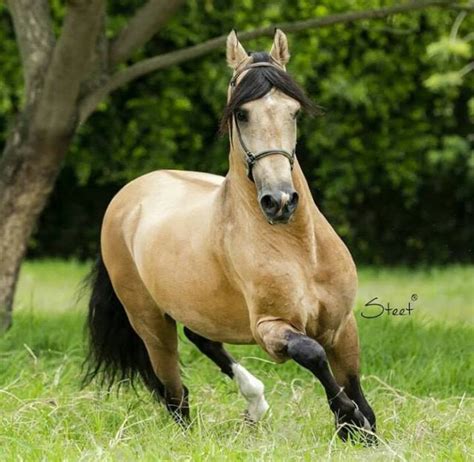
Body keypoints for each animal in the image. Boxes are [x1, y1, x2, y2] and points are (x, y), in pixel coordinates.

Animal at [87, 29, 378, 444]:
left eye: (294, 111)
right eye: (242, 113)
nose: (279, 201)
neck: (298, 250)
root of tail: (128, 195)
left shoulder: (341, 325)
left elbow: (353, 382)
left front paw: (363, 431)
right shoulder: (270, 328)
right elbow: (311, 353)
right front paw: (348, 417)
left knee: (202, 339)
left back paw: (255, 404)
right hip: (150, 323)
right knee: (174, 391)